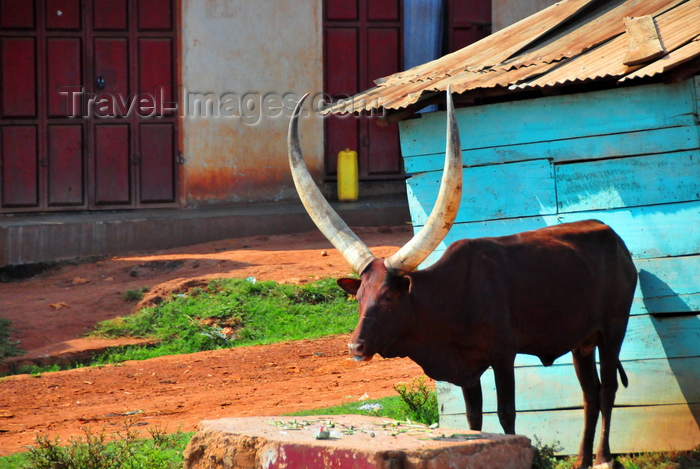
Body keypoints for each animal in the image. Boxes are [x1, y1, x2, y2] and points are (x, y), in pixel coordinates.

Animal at [288, 87, 636, 464]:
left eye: (390, 296)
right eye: (359, 298)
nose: (356, 345)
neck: (449, 299)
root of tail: (614, 237)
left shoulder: (503, 356)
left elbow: (506, 415)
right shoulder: (468, 373)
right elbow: (474, 421)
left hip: (613, 328)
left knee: (608, 389)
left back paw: (603, 457)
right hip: (581, 342)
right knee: (590, 393)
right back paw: (583, 459)